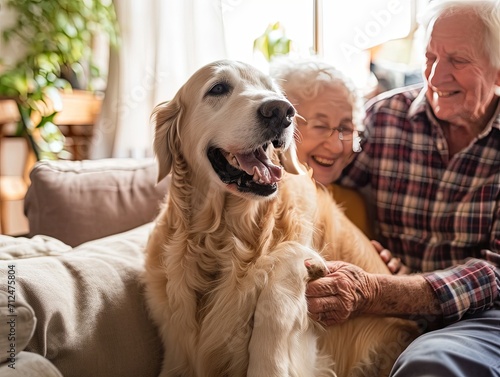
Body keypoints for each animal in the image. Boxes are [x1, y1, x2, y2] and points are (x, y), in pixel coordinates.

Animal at [144, 59, 418, 376]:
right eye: (218, 88)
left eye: (272, 90)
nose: (280, 111)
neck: (224, 235)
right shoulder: (177, 348)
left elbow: (282, 270)